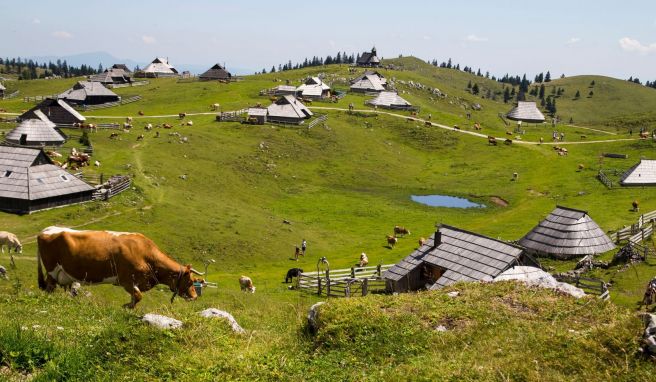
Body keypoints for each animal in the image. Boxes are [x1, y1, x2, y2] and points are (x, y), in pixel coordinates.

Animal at [36, 225, 204, 308]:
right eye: (190, 281)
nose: (194, 297)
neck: (146, 254)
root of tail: (47, 229)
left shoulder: (135, 282)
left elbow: (135, 297)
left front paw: (130, 308)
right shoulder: (126, 280)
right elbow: (138, 296)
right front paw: (126, 306)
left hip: (64, 274)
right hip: (52, 270)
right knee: (49, 288)